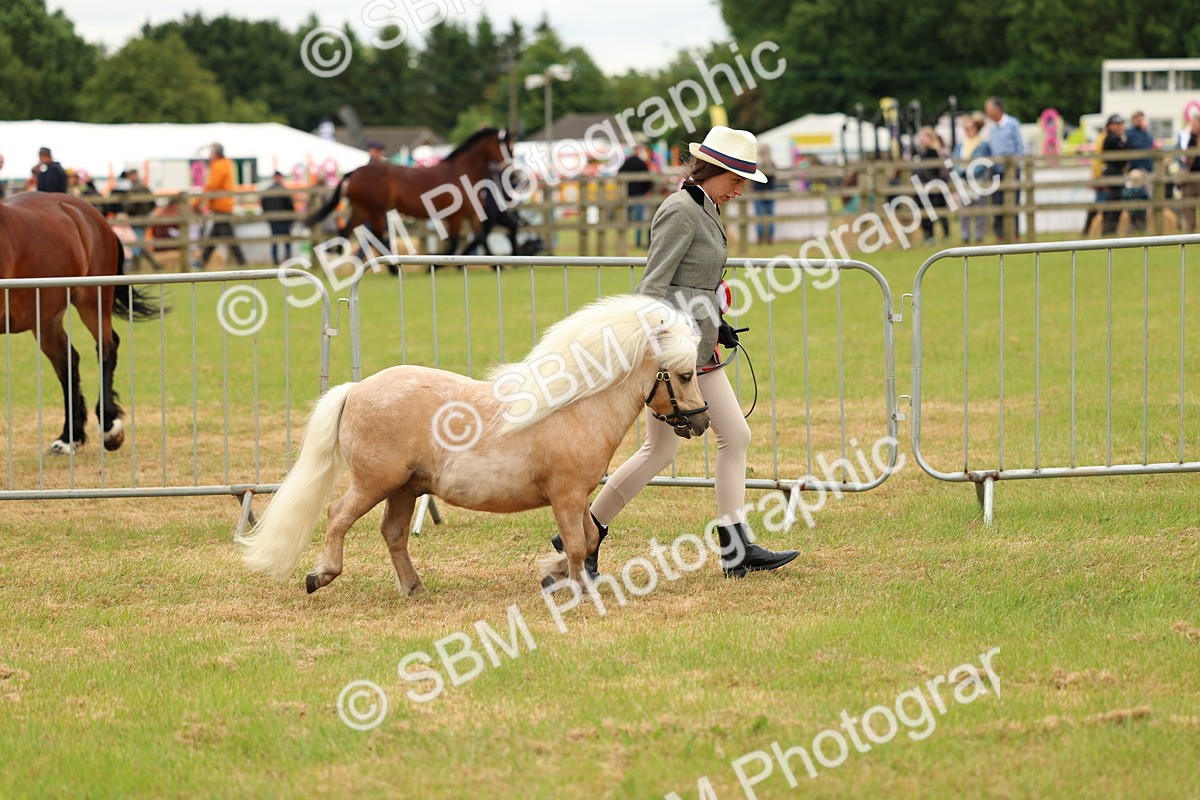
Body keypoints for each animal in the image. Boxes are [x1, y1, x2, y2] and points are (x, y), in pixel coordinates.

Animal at [0, 192, 163, 454]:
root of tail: (89, 212)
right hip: (46, 317)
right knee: (68, 362)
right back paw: (69, 437)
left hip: (92, 301)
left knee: (106, 348)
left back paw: (110, 428)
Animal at [237, 294, 711, 595]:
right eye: (685, 374)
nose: (702, 420)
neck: (577, 407)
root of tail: (355, 390)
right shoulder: (566, 495)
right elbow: (578, 543)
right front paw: (576, 587)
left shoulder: (578, 497)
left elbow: (590, 537)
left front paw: (555, 575)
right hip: (376, 482)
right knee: (338, 516)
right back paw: (321, 576)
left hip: (404, 489)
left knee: (393, 533)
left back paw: (413, 586)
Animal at [303, 127, 512, 257]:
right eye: (506, 146)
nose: (512, 169)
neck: (460, 171)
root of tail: (356, 171)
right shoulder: (456, 216)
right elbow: (453, 244)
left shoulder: (473, 214)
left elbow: (481, 238)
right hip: (376, 212)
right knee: (378, 238)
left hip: (361, 211)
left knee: (347, 232)